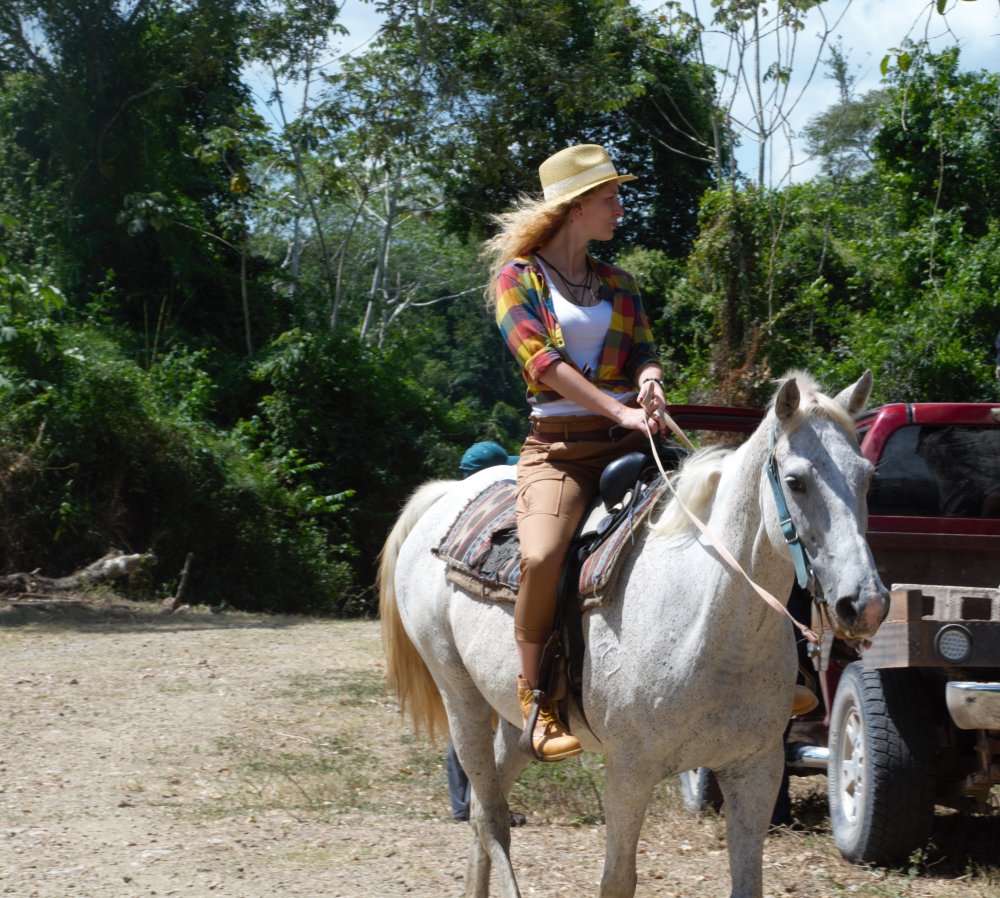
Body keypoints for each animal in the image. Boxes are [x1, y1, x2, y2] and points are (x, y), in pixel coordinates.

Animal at [378, 370, 889, 898]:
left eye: (868, 478)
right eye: (795, 481)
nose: (865, 604)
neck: (713, 628)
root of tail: (444, 497)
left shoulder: (757, 770)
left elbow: (747, 882)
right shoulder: (628, 774)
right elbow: (617, 880)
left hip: (515, 724)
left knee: (485, 808)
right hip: (462, 700)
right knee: (491, 816)